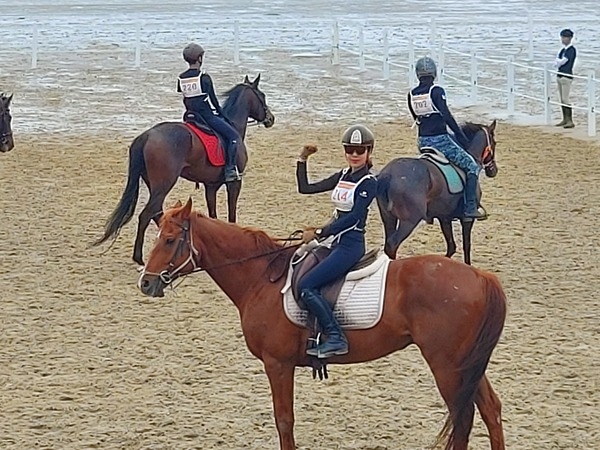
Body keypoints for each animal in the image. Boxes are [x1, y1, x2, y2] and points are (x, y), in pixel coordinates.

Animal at [93, 73, 274, 264]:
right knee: (146, 214)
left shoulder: (211, 186)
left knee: (157, 213)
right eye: (262, 96)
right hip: (164, 184)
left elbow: (213, 215)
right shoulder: (234, 184)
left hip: (155, 185)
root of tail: (147, 135)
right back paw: (140, 257)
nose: (271, 119)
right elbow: (231, 214)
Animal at [137, 199, 506, 450]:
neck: (261, 278)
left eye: (169, 239)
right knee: (490, 409)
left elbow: (284, 420)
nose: (146, 282)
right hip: (467, 365)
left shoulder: (278, 364)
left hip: (448, 367)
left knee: (463, 419)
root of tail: (480, 276)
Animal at [378, 121, 500, 266]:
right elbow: (466, 246)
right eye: (494, 142)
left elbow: (452, 247)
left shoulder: (444, 218)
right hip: (409, 221)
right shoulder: (467, 219)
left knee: (388, 245)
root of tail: (389, 174)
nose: (493, 170)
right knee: (392, 244)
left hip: (388, 218)